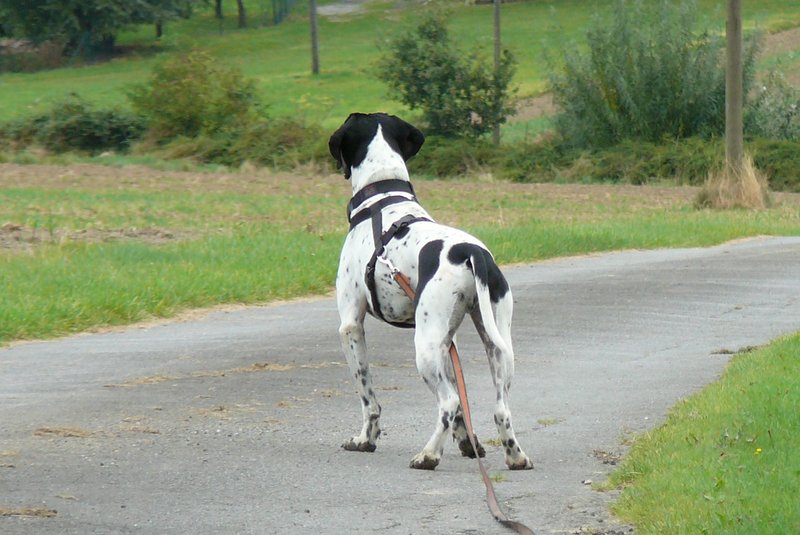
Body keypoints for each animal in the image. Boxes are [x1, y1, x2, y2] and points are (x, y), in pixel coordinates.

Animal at [328, 112, 536, 468]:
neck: (381, 199)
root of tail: (470, 252)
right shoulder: (446, 341)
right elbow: (463, 411)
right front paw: (469, 444)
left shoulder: (351, 325)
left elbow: (368, 397)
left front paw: (365, 440)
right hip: (492, 342)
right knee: (499, 408)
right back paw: (515, 456)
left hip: (424, 348)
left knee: (448, 401)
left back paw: (428, 455)